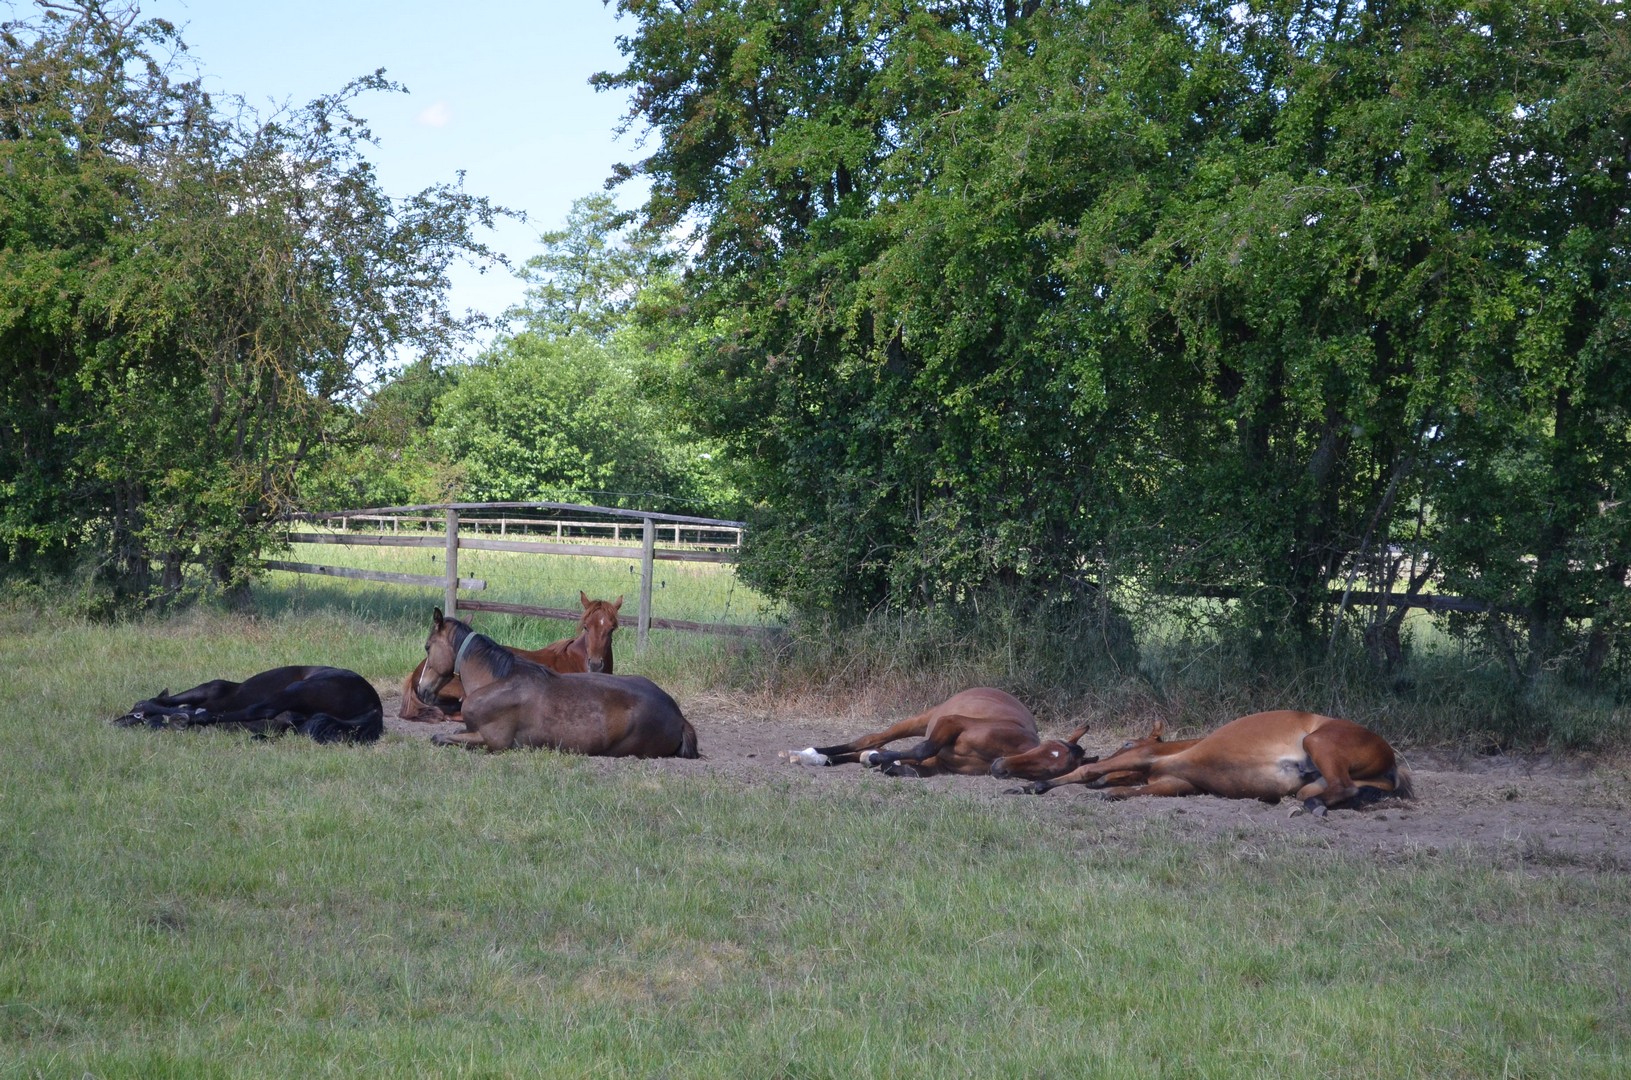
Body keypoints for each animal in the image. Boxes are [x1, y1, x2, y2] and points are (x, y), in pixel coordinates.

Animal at [114, 666, 383, 744]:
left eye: (131, 713)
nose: (115, 723)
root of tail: (375, 706)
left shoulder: (212, 688)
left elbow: (166, 703)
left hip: (296, 690)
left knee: (257, 710)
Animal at [418, 608, 697, 757]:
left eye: (427, 646)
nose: (421, 689)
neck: (496, 681)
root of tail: (679, 717)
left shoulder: (494, 742)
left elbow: (439, 737)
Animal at [779, 687, 1094, 779]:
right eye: (1045, 746)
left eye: (1050, 769)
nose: (999, 767)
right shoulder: (952, 723)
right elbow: (921, 748)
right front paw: (880, 760)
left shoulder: (940, 763)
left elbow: (913, 764)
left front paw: (886, 764)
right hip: (922, 719)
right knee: (871, 740)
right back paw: (812, 753)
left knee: (865, 749)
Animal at [1010, 710, 1413, 815]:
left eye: (1125, 742)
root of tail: (1390, 756)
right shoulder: (1180, 784)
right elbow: (1138, 790)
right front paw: (1112, 792)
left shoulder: (1144, 756)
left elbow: (1088, 769)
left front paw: (1034, 785)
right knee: (1346, 789)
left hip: (1317, 741)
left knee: (1339, 787)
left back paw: (1312, 805)